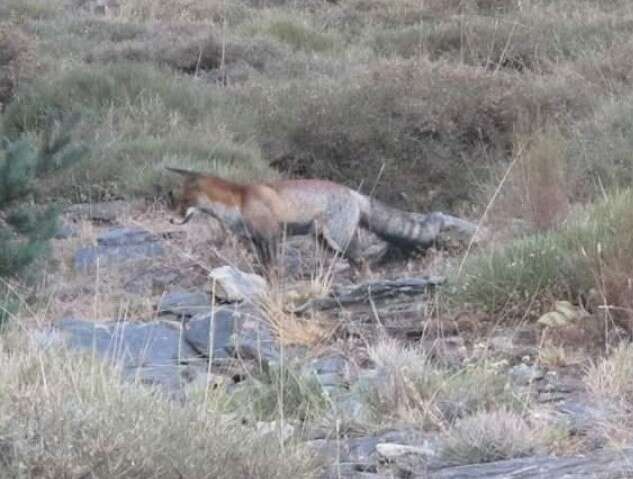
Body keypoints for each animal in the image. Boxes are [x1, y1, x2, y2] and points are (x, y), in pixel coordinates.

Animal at [165, 169, 436, 274]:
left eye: (182, 201)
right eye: (176, 200)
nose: (170, 219)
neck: (240, 202)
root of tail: (352, 192)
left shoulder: (271, 237)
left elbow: (273, 269)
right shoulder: (257, 241)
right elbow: (264, 267)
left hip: (339, 240)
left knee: (362, 261)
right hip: (327, 243)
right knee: (356, 261)